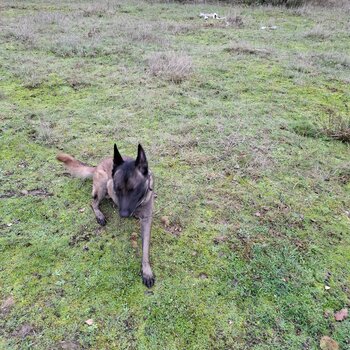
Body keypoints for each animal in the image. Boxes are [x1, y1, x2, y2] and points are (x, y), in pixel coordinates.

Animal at [57, 144, 154, 288]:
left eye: (134, 190)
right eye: (117, 189)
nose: (123, 215)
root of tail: (96, 166)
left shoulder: (147, 219)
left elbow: (145, 248)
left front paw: (146, 270)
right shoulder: (110, 185)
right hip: (102, 182)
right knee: (93, 202)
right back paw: (99, 215)